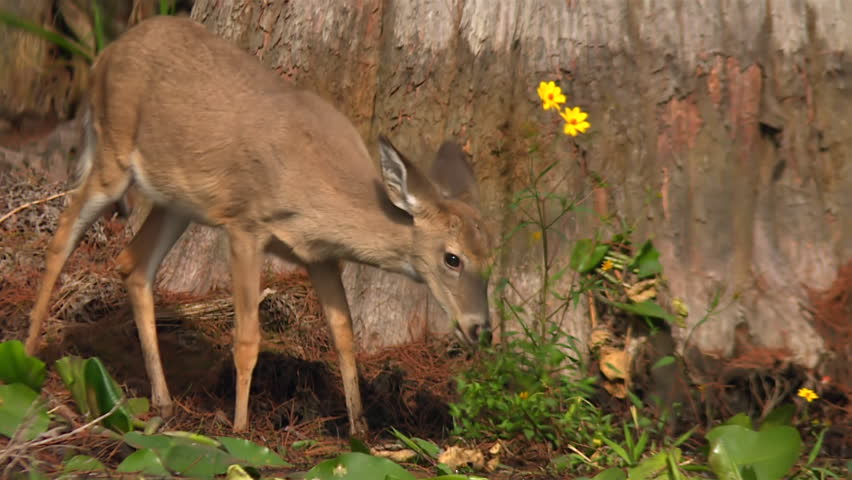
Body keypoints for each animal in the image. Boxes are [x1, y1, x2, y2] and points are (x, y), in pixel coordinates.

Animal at [24, 16, 492, 436]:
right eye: (452, 258)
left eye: (490, 261)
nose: (480, 329)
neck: (318, 184)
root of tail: (104, 56)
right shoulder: (246, 224)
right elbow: (248, 337)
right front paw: (240, 427)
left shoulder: (320, 255)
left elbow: (344, 333)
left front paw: (359, 429)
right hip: (114, 154)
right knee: (62, 235)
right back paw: (27, 358)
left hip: (177, 200)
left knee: (133, 264)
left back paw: (163, 400)